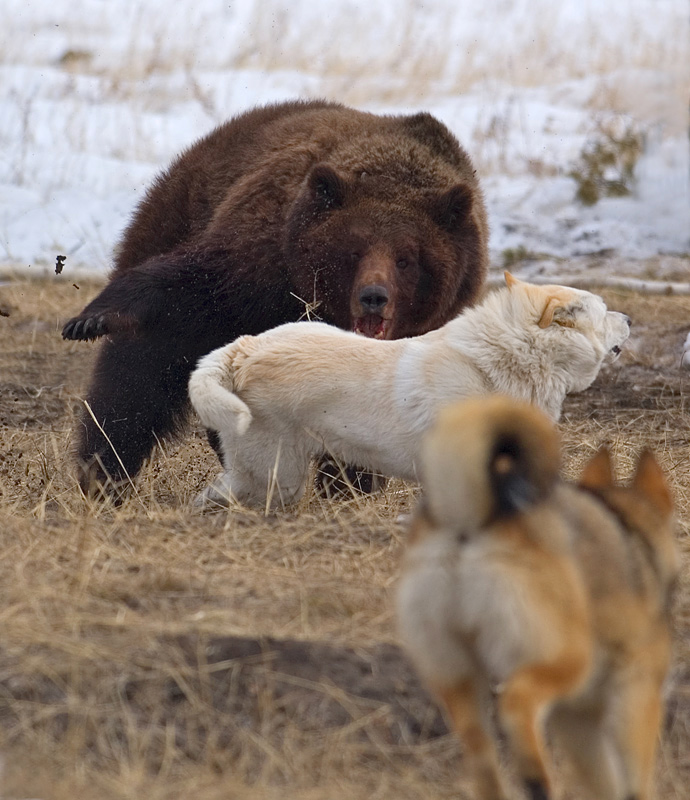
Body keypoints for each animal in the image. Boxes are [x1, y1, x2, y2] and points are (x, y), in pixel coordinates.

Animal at [61, 99, 486, 496]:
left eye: (406, 258)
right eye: (353, 250)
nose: (373, 296)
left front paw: (348, 485)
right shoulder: (257, 264)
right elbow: (183, 287)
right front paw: (90, 319)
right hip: (174, 221)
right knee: (132, 383)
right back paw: (103, 475)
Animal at [396, 396, 676, 800]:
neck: (633, 531)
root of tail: (471, 514)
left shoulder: (577, 718)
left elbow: (604, 781)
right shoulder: (636, 693)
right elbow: (635, 781)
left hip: (458, 681)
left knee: (482, 763)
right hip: (567, 658)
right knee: (516, 704)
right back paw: (536, 778)